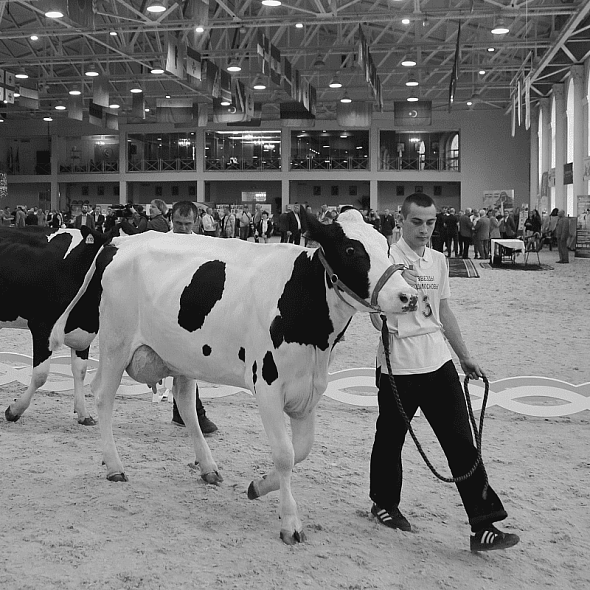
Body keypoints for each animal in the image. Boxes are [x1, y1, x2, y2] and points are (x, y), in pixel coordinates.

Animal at [0, 227, 113, 426]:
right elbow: (40, 375)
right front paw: (14, 411)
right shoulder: (42, 326)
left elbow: (80, 370)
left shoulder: (83, 333)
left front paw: (84, 414)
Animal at [52, 208, 420, 544]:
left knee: (185, 403)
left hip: (181, 355)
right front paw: (290, 523)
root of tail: (122, 242)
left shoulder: (309, 389)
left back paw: (208, 468)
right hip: (116, 342)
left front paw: (258, 485)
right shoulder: (268, 385)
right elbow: (285, 454)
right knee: (103, 395)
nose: (409, 296)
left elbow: (301, 451)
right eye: (351, 250)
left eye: (386, 247)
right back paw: (114, 466)